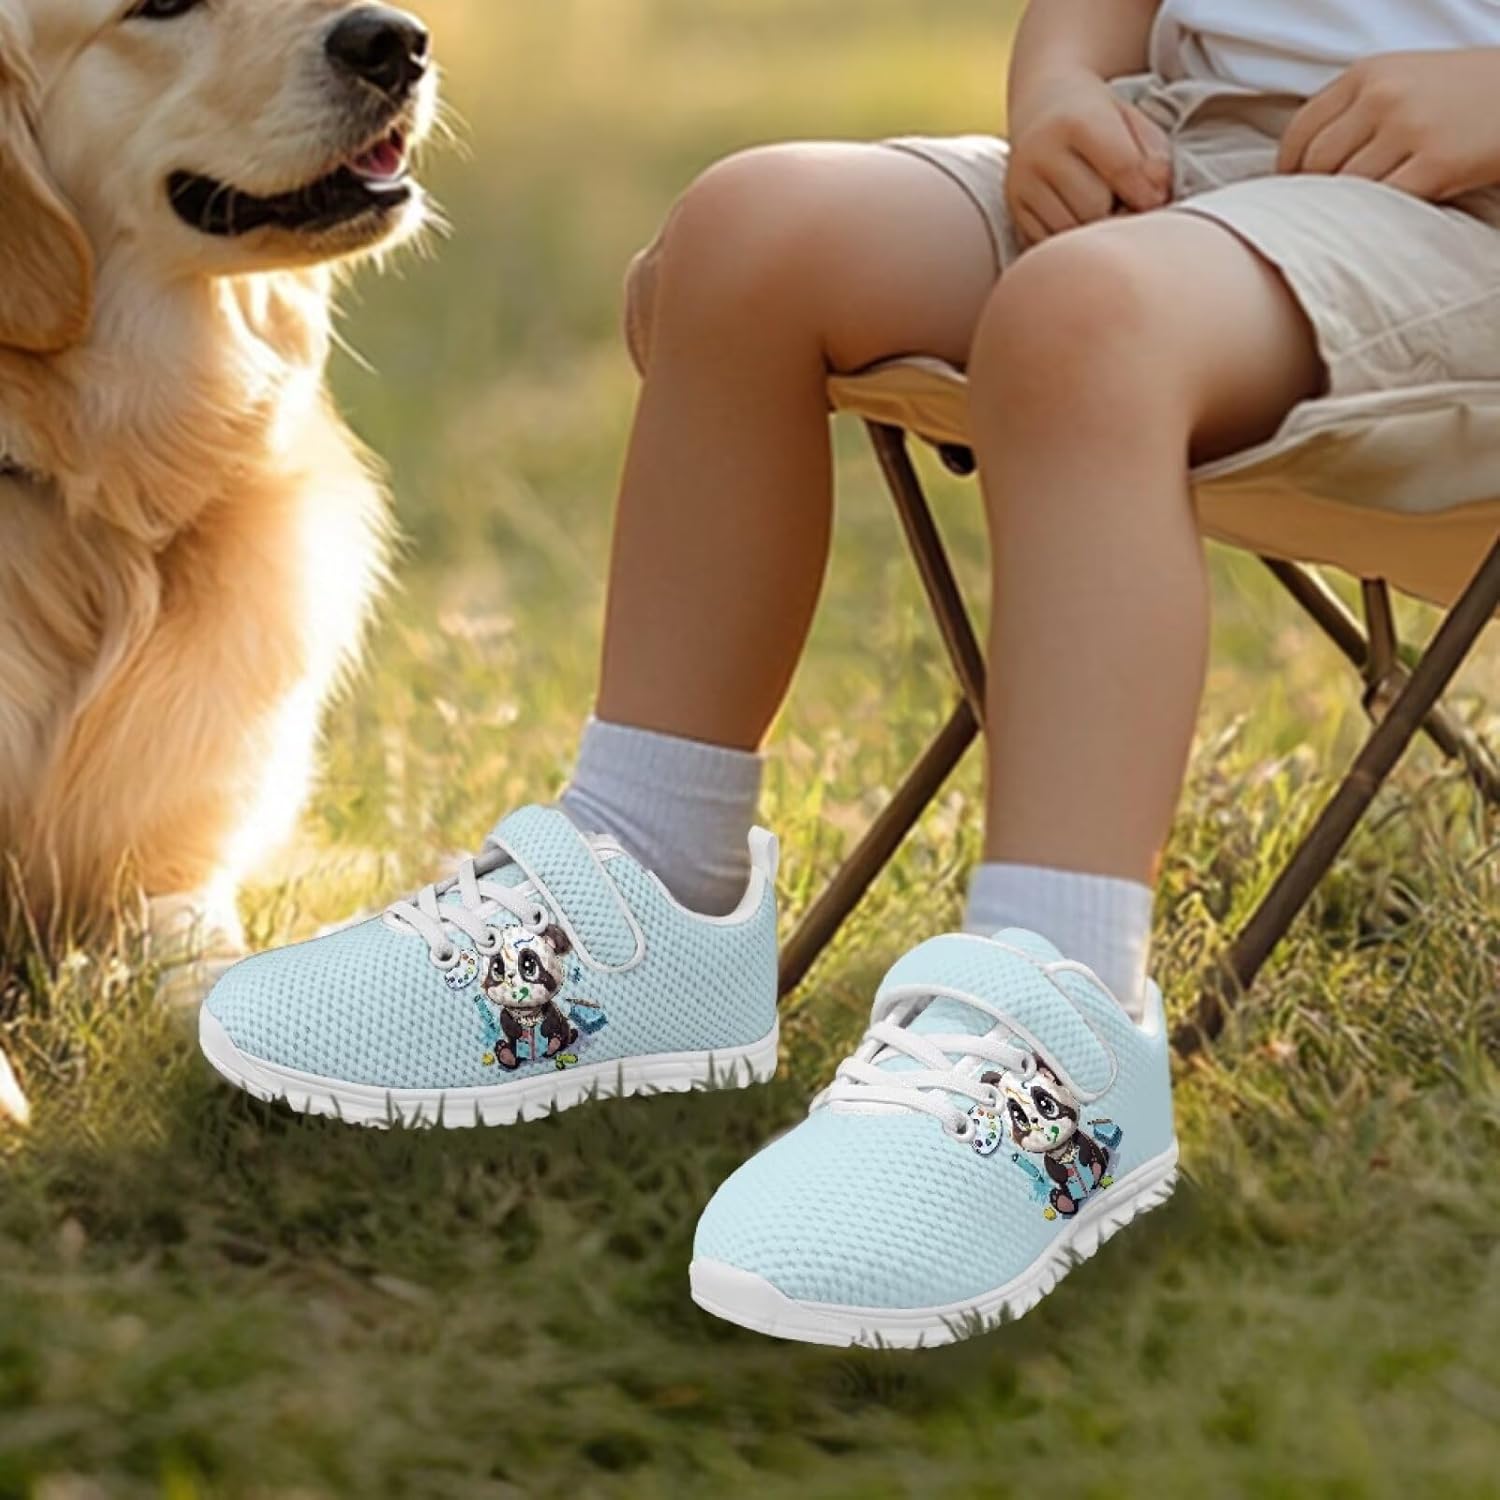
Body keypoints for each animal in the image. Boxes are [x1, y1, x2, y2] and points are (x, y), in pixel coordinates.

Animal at [480, 924, 580, 1071]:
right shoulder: (508, 1012)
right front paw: (517, 1033)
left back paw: (555, 1042)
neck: (526, 1012)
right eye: (497, 968)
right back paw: (505, 1053)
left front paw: (547, 1031)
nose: (510, 976)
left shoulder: (549, 1007)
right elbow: (506, 1020)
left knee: (562, 1036)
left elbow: (552, 1018)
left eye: (528, 965)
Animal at [983, 1056, 1110, 1219]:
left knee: (1097, 1164)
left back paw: (1097, 1168)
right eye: (1019, 1117)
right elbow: (1053, 1169)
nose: (1035, 1120)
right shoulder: (1050, 1158)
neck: (1062, 1150)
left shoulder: (1078, 1139)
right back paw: (1061, 1200)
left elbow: (1085, 1147)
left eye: (1046, 1104)